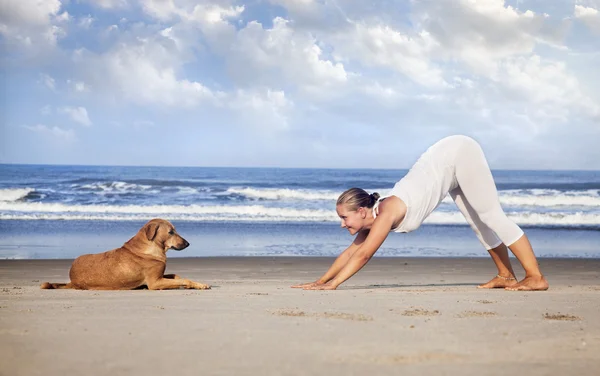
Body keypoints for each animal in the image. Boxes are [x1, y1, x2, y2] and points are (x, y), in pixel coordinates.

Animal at [40, 217, 211, 290]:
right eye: (171, 232)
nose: (188, 243)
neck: (149, 246)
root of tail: (72, 280)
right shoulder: (154, 282)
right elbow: (183, 279)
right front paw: (198, 284)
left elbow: (177, 276)